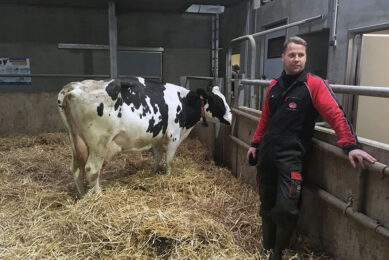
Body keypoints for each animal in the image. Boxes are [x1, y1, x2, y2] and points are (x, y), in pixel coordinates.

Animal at [57, 77, 230, 197]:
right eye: (218, 101)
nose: (231, 117)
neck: (184, 102)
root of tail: (74, 87)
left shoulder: (157, 137)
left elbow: (158, 156)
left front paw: (155, 172)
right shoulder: (174, 136)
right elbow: (169, 160)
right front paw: (168, 176)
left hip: (74, 140)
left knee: (76, 168)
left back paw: (81, 195)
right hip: (99, 142)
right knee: (92, 169)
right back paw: (99, 195)